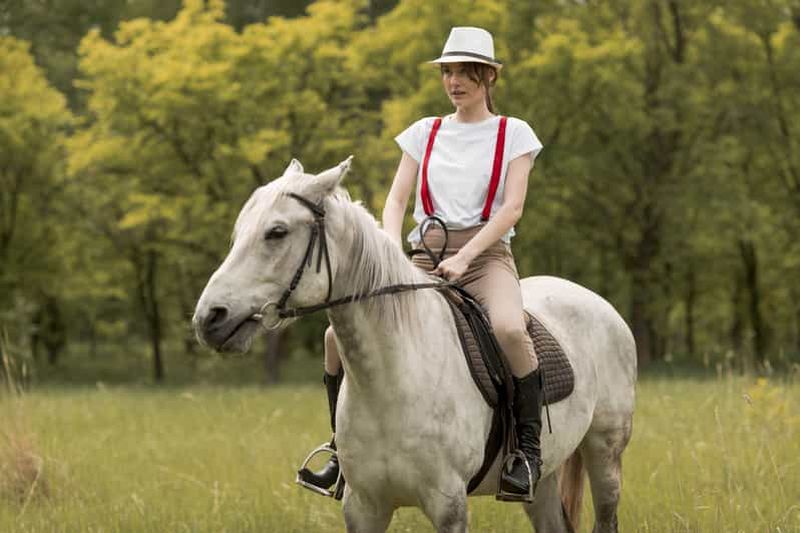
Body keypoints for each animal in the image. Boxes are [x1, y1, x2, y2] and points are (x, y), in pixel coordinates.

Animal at [193, 157, 637, 532]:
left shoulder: (449, 506)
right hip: (544, 478)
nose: (209, 319)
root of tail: (596, 302)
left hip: (605, 456)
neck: (392, 381)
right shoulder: (364, 508)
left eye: (277, 232)